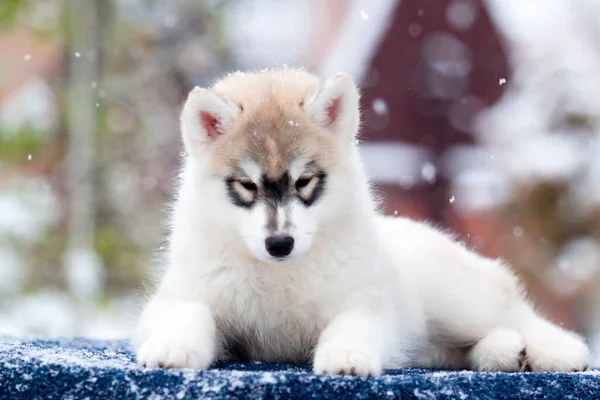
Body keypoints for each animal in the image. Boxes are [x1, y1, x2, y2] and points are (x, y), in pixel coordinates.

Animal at [134, 68, 588, 376]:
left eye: (304, 181)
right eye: (246, 184)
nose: (279, 244)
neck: (278, 277)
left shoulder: (365, 302)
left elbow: (351, 324)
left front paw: (346, 356)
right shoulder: (183, 294)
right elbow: (188, 314)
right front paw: (173, 347)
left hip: (456, 298)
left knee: (516, 313)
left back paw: (561, 351)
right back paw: (504, 352)